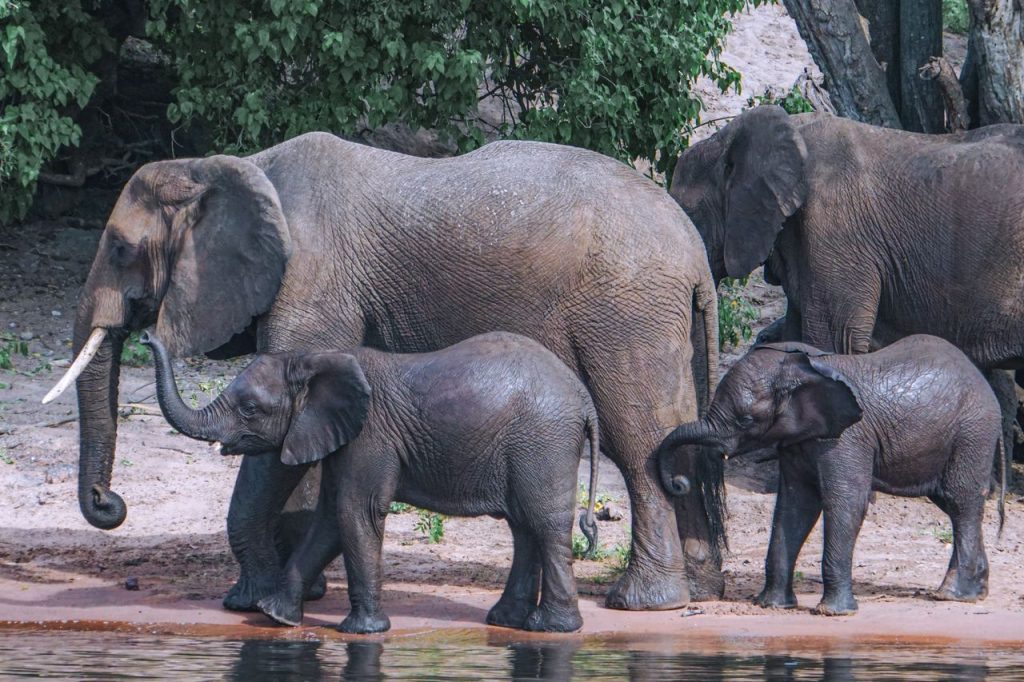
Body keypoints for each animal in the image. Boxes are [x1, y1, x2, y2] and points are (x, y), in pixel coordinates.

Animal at [144, 330, 600, 633]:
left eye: (250, 409)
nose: (147, 336)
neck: (314, 359)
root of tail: (583, 397)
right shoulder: (341, 437)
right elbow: (330, 519)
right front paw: (275, 615)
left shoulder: (369, 436)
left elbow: (355, 512)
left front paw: (362, 632)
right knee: (523, 526)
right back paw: (507, 621)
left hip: (543, 442)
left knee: (543, 524)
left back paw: (553, 628)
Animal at [658, 335, 1005, 616]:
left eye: (745, 420)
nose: (678, 482)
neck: (804, 368)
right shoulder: (798, 441)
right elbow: (795, 507)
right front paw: (773, 605)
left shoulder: (847, 437)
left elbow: (845, 502)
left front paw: (833, 613)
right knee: (953, 502)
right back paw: (977, 591)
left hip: (972, 432)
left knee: (960, 502)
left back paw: (953, 595)